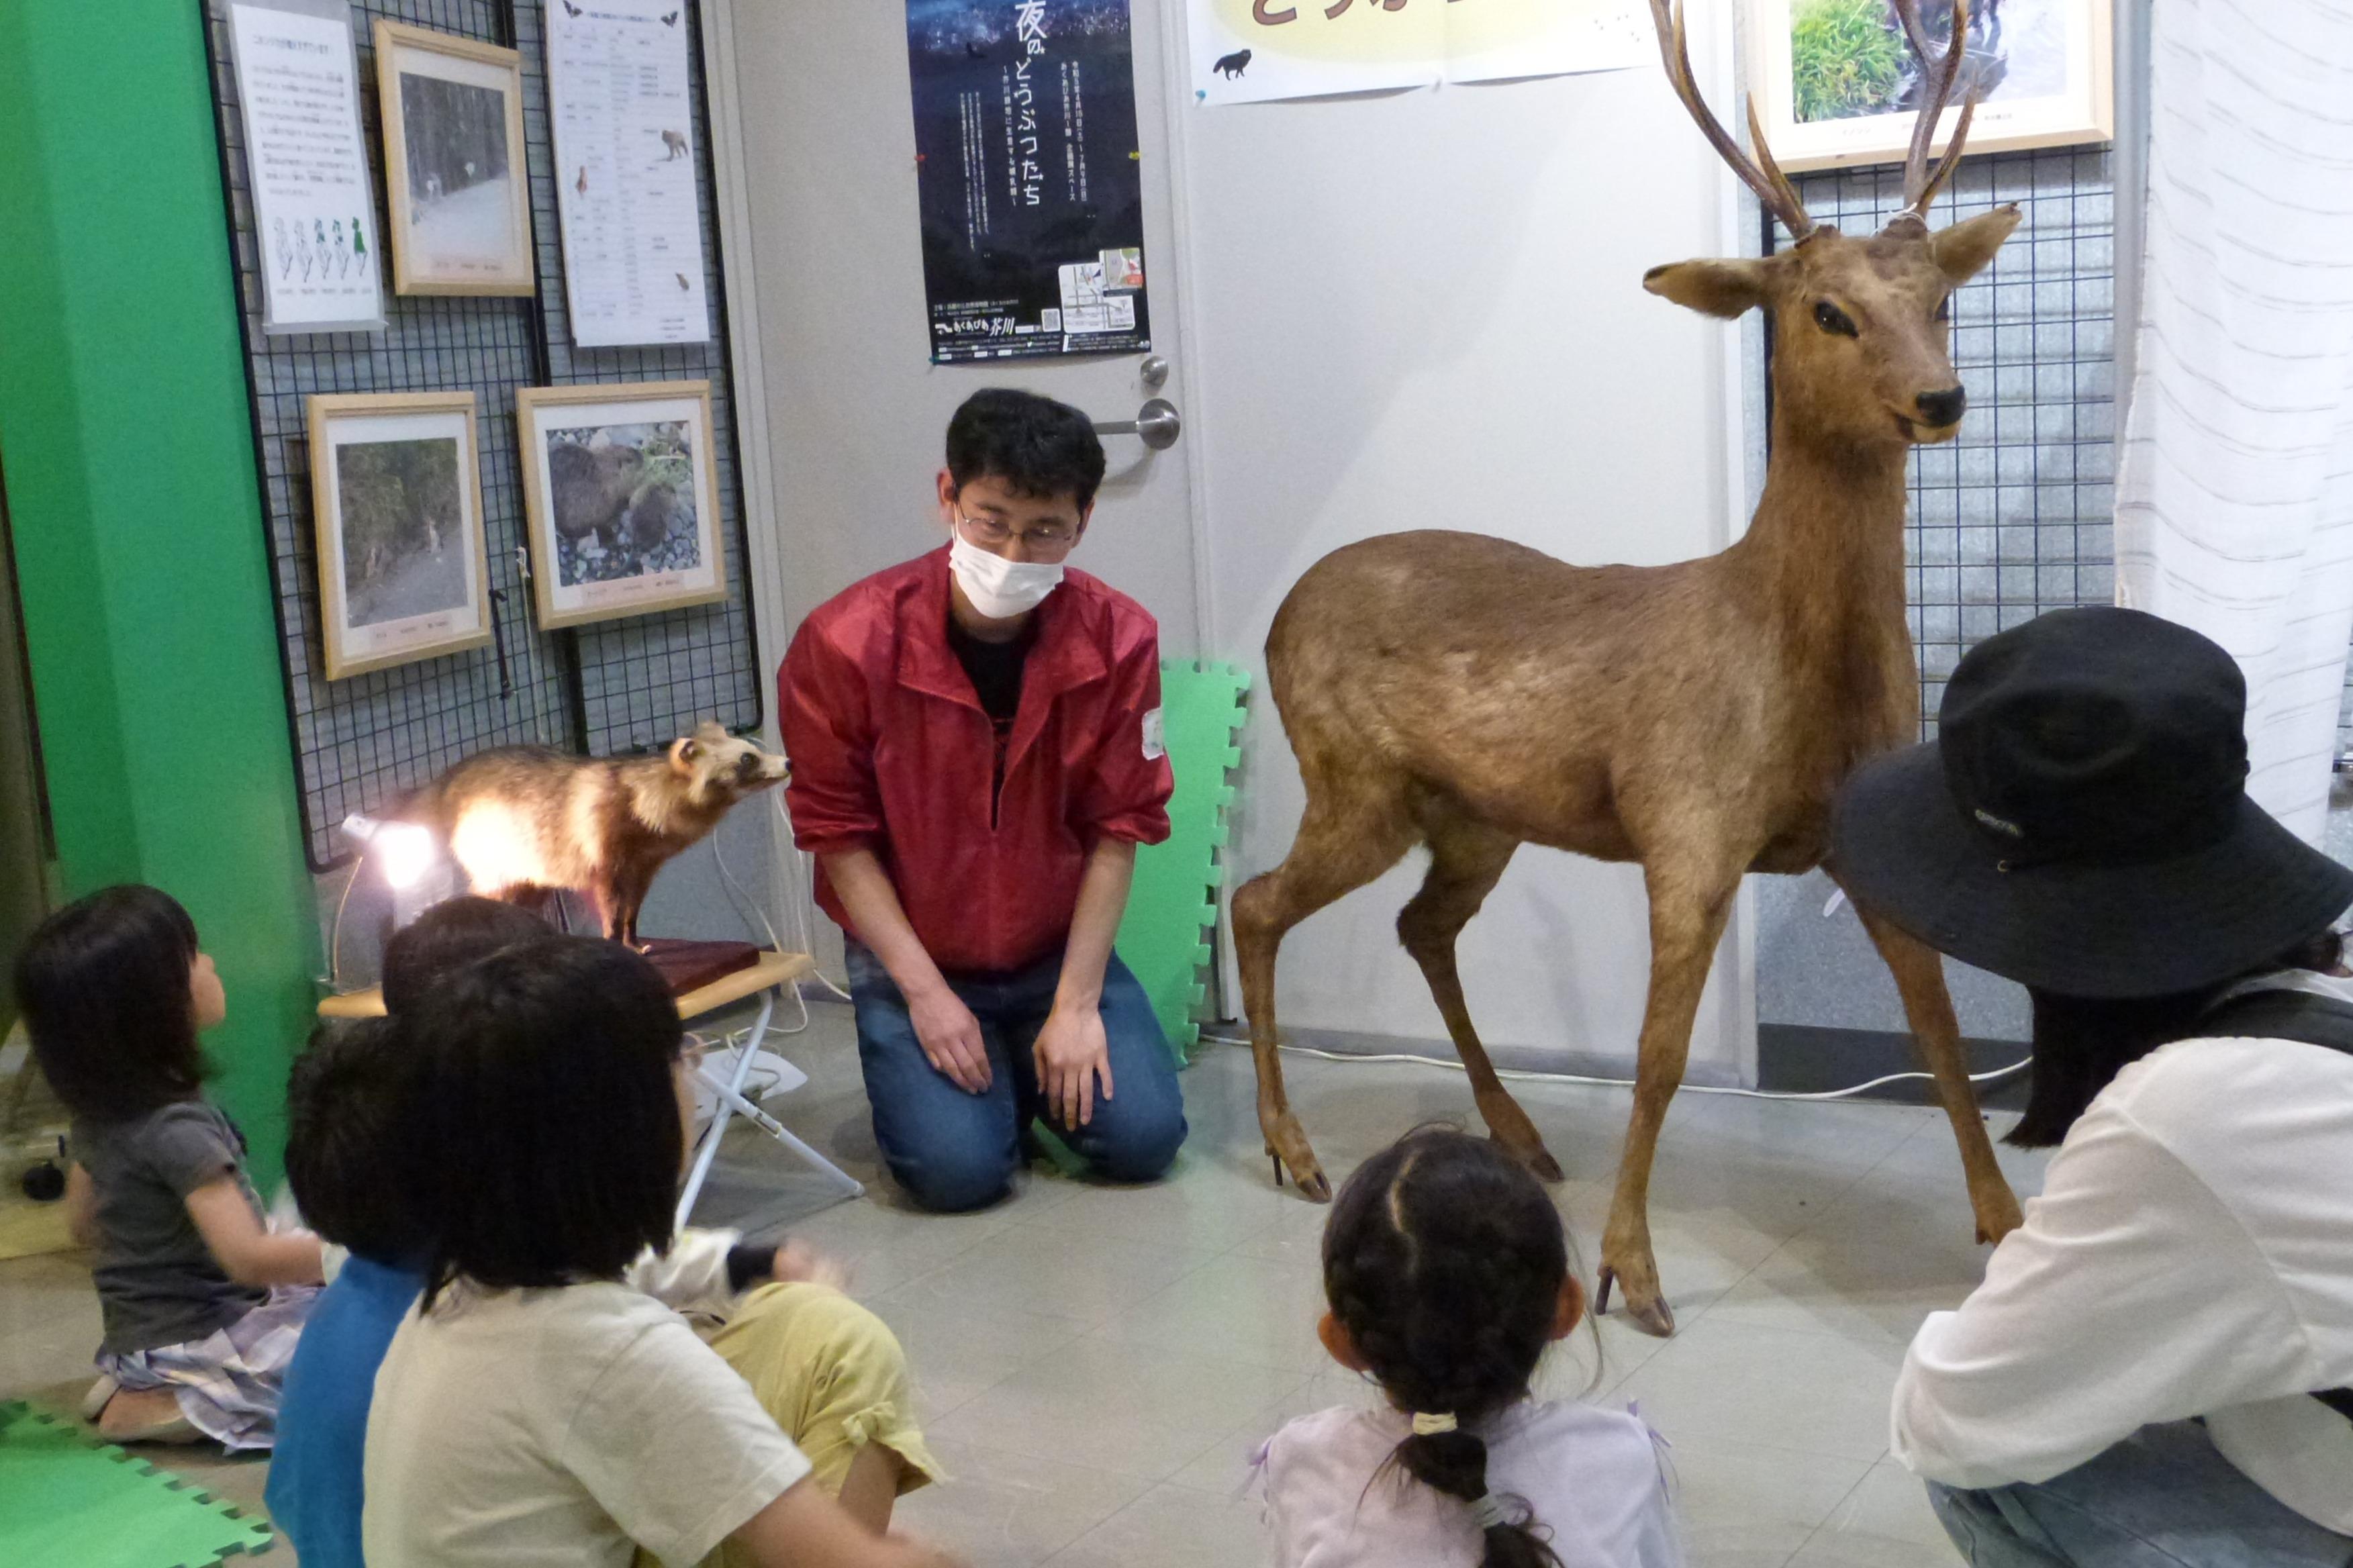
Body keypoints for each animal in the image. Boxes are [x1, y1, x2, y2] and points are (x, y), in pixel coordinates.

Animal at [390, 720, 785, 942]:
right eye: (747, 759)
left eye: (749, 748)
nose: (788, 762)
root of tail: (448, 778)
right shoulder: (605, 846)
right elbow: (610, 905)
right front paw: (614, 939)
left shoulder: (645, 864)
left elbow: (633, 906)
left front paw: (632, 938)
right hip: (491, 852)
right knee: (490, 893)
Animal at [1233, 0, 2023, 1328]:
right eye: (1825, 311)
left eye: (1943, 300)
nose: (1943, 398)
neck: (1802, 685)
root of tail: (1281, 610)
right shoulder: (1686, 823)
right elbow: (1659, 1057)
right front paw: (1630, 1270)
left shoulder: (1854, 834)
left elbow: (1941, 1025)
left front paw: (2009, 1227)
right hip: (1352, 781)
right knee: (1253, 902)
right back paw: (1292, 1152)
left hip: (1474, 817)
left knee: (1419, 926)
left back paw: (1517, 1135)